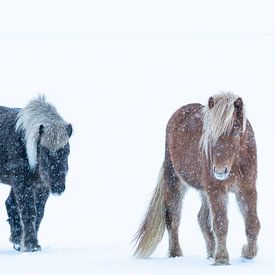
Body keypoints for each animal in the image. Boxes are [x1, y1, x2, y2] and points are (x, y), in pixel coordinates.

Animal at [0, 96, 73, 253]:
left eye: (67, 151)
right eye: (44, 151)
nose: (58, 188)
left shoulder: (42, 186)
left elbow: (39, 212)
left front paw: (25, 243)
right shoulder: (22, 183)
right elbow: (29, 211)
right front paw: (31, 246)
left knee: (10, 204)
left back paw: (16, 240)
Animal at [135, 94, 262, 266]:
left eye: (236, 126)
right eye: (210, 133)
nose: (219, 171)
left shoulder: (246, 188)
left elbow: (252, 222)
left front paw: (247, 253)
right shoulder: (217, 189)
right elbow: (221, 223)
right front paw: (222, 259)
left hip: (204, 190)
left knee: (202, 218)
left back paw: (210, 253)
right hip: (175, 181)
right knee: (173, 216)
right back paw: (176, 254)